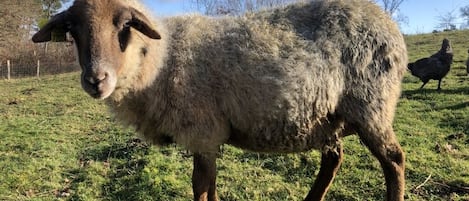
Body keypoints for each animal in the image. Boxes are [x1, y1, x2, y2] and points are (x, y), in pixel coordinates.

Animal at [32, 0, 406, 200]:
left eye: (124, 25)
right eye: (72, 31)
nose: (96, 80)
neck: (162, 59)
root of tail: (388, 25)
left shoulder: (202, 130)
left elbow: (200, 186)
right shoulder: (208, 137)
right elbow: (209, 185)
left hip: (370, 105)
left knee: (394, 160)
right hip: (328, 115)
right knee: (333, 160)